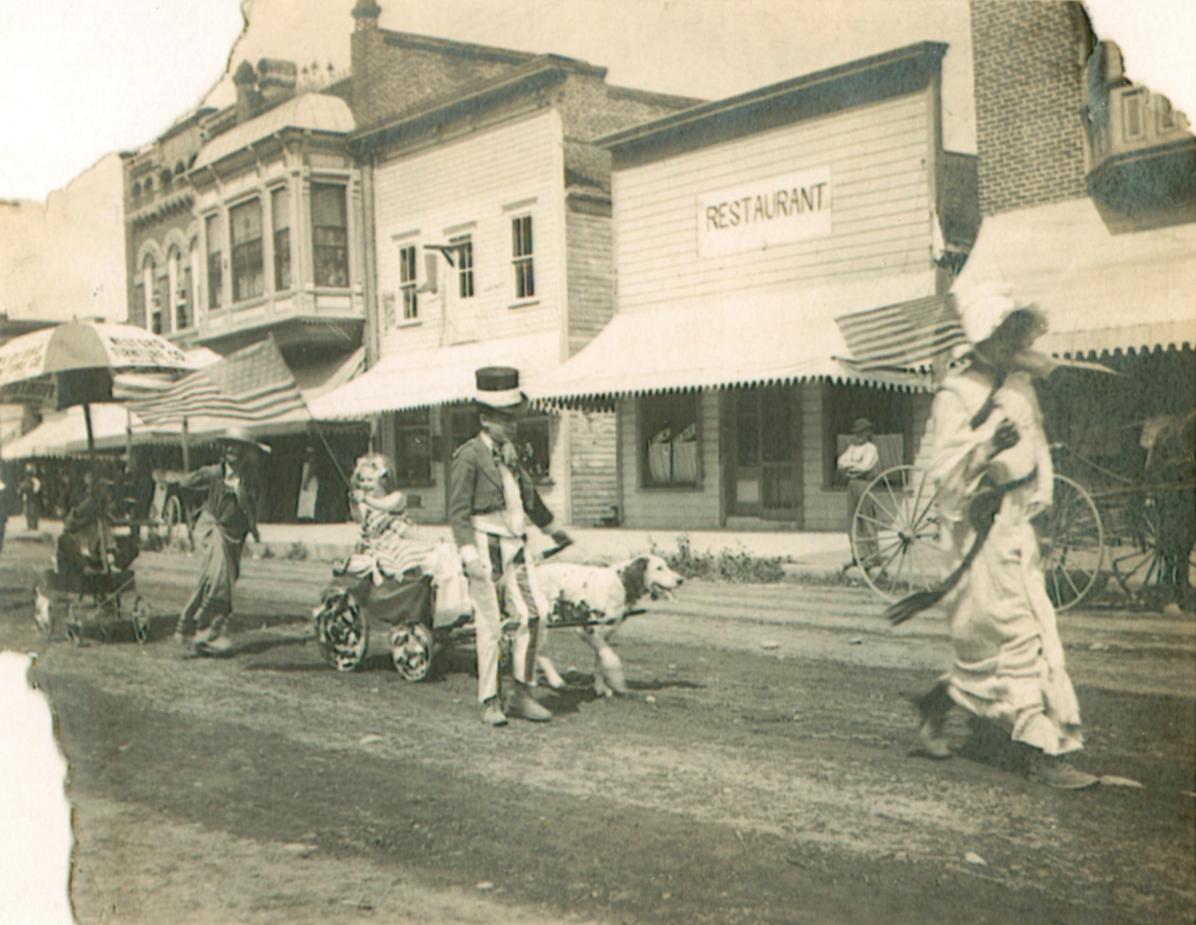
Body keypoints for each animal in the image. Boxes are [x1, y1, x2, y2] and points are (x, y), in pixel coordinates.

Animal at [533, 552, 684, 698]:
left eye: (666, 566)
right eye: (659, 568)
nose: (681, 580)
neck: (620, 584)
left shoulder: (605, 634)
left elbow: (600, 661)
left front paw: (600, 688)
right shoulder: (587, 629)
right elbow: (611, 658)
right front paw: (617, 681)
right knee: (539, 651)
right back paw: (555, 680)